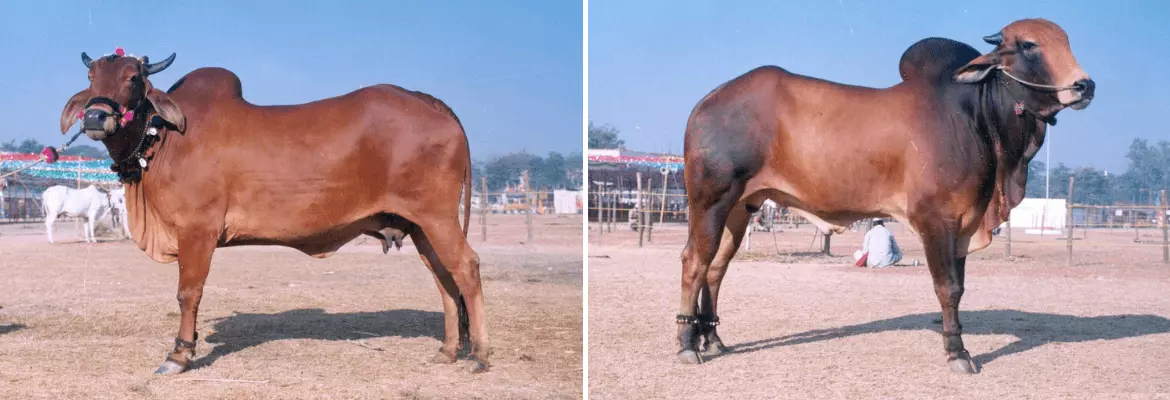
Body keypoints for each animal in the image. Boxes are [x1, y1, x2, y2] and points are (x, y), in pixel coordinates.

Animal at [59, 49, 487, 374]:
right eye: (91, 75)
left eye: (133, 77)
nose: (95, 116)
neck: (163, 137)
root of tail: (432, 103)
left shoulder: (197, 230)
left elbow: (188, 293)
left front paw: (179, 354)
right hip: (420, 228)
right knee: (444, 280)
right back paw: (448, 351)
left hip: (437, 217)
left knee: (466, 268)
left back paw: (479, 354)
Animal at [674, 19, 1094, 374]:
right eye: (1028, 45)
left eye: (1067, 41)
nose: (1084, 85)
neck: (976, 116)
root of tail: (706, 102)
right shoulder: (935, 220)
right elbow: (947, 287)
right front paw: (957, 353)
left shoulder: (963, 224)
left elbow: (959, 288)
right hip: (710, 201)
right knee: (694, 262)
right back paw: (686, 344)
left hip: (741, 207)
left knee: (716, 268)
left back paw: (713, 338)